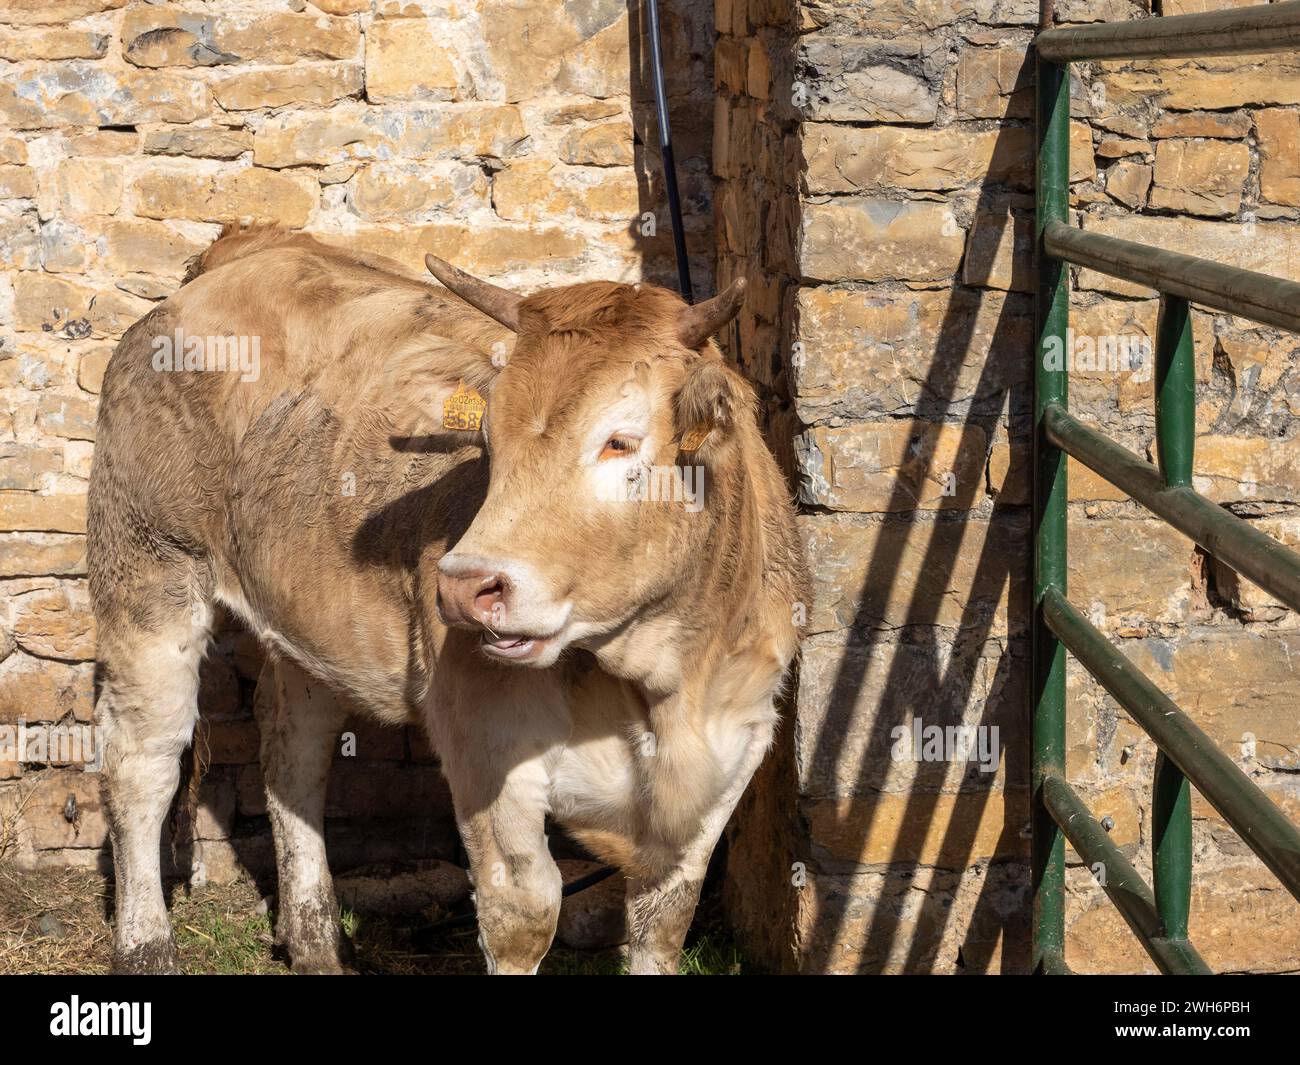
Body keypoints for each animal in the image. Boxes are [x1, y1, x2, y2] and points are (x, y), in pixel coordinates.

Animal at [86, 224, 806, 972]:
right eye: (487, 440)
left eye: (620, 441)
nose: (462, 585)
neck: (664, 684)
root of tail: (243, 252)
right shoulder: (485, 743)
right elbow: (525, 913)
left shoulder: (732, 754)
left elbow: (663, 924)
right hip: (148, 567)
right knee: (141, 760)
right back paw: (146, 945)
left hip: (303, 623)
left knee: (294, 749)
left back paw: (317, 943)